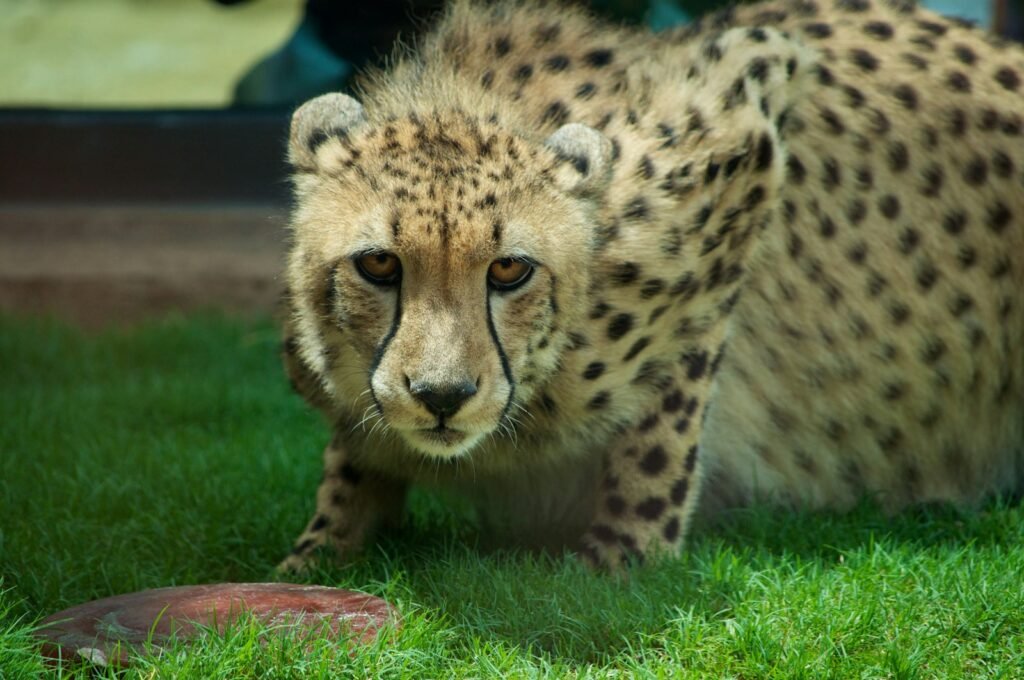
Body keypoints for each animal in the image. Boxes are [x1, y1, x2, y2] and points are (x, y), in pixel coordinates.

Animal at [276, 0, 1024, 572]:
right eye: (378, 265)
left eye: (510, 269)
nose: (442, 396)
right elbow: (350, 458)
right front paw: (322, 546)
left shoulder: (744, 125)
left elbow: (666, 409)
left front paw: (623, 554)